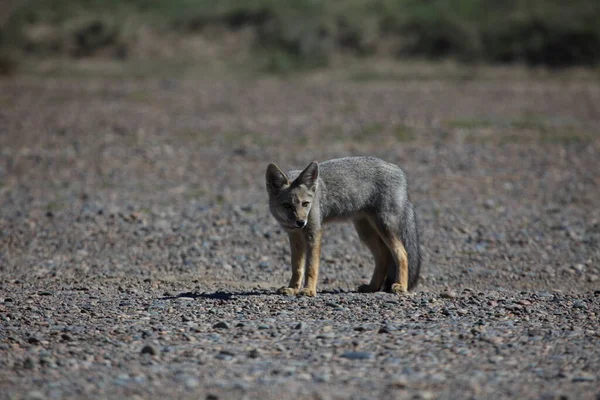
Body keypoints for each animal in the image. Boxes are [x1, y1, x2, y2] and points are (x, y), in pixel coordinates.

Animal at [264, 156, 420, 296]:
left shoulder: (314, 233)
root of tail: (398, 170)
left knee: (402, 253)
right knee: (383, 256)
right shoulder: (295, 237)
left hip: (384, 227)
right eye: (287, 206)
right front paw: (293, 288)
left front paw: (308, 290)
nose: (301, 222)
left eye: (305, 204)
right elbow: (297, 268)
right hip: (366, 233)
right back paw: (372, 287)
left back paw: (401, 286)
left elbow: (311, 267)